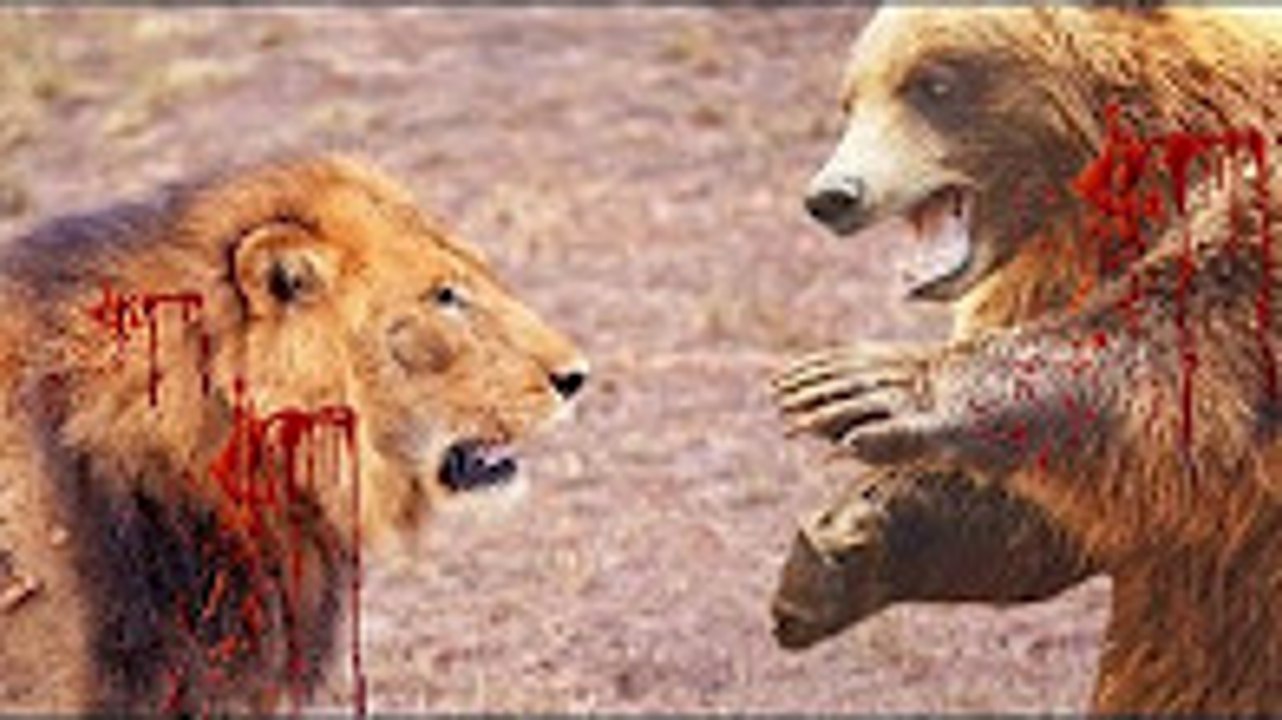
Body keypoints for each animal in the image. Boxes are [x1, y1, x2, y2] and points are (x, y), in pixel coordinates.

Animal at [773, 4, 1282, 713]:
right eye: (851, 100)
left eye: (933, 84)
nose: (833, 196)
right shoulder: (1049, 278)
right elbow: (1075, 505)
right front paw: (839, 542)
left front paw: (873, 382)